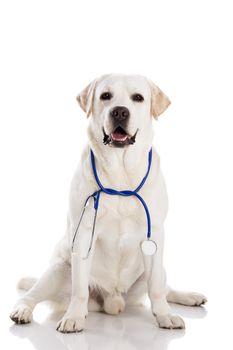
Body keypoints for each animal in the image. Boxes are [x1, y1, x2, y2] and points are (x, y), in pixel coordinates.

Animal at [9, 74, 206, 330]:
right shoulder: (83, 234)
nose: (120, 111)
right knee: (31, 294)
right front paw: (73, 317)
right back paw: (22, 310)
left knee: (164, 287)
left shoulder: (155, 234)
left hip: (151, 270)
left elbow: (156, 288)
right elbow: (79, 289)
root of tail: (114, 301)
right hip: (59, 270)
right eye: (105, 96)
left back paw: (189, 296)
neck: (120, 171)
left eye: (138, 98)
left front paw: (164, 315)